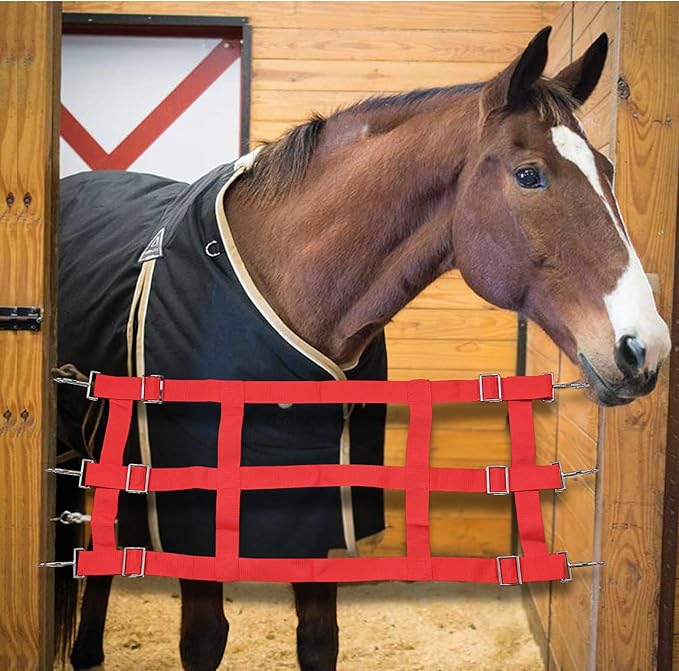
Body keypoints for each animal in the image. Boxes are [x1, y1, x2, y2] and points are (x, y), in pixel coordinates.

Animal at [54, 26, 670, 671]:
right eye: (530, 175)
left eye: (607, 168)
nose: (646, 347)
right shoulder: (193, 519)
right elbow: (203, 640)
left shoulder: (320, 511)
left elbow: (319, 640)